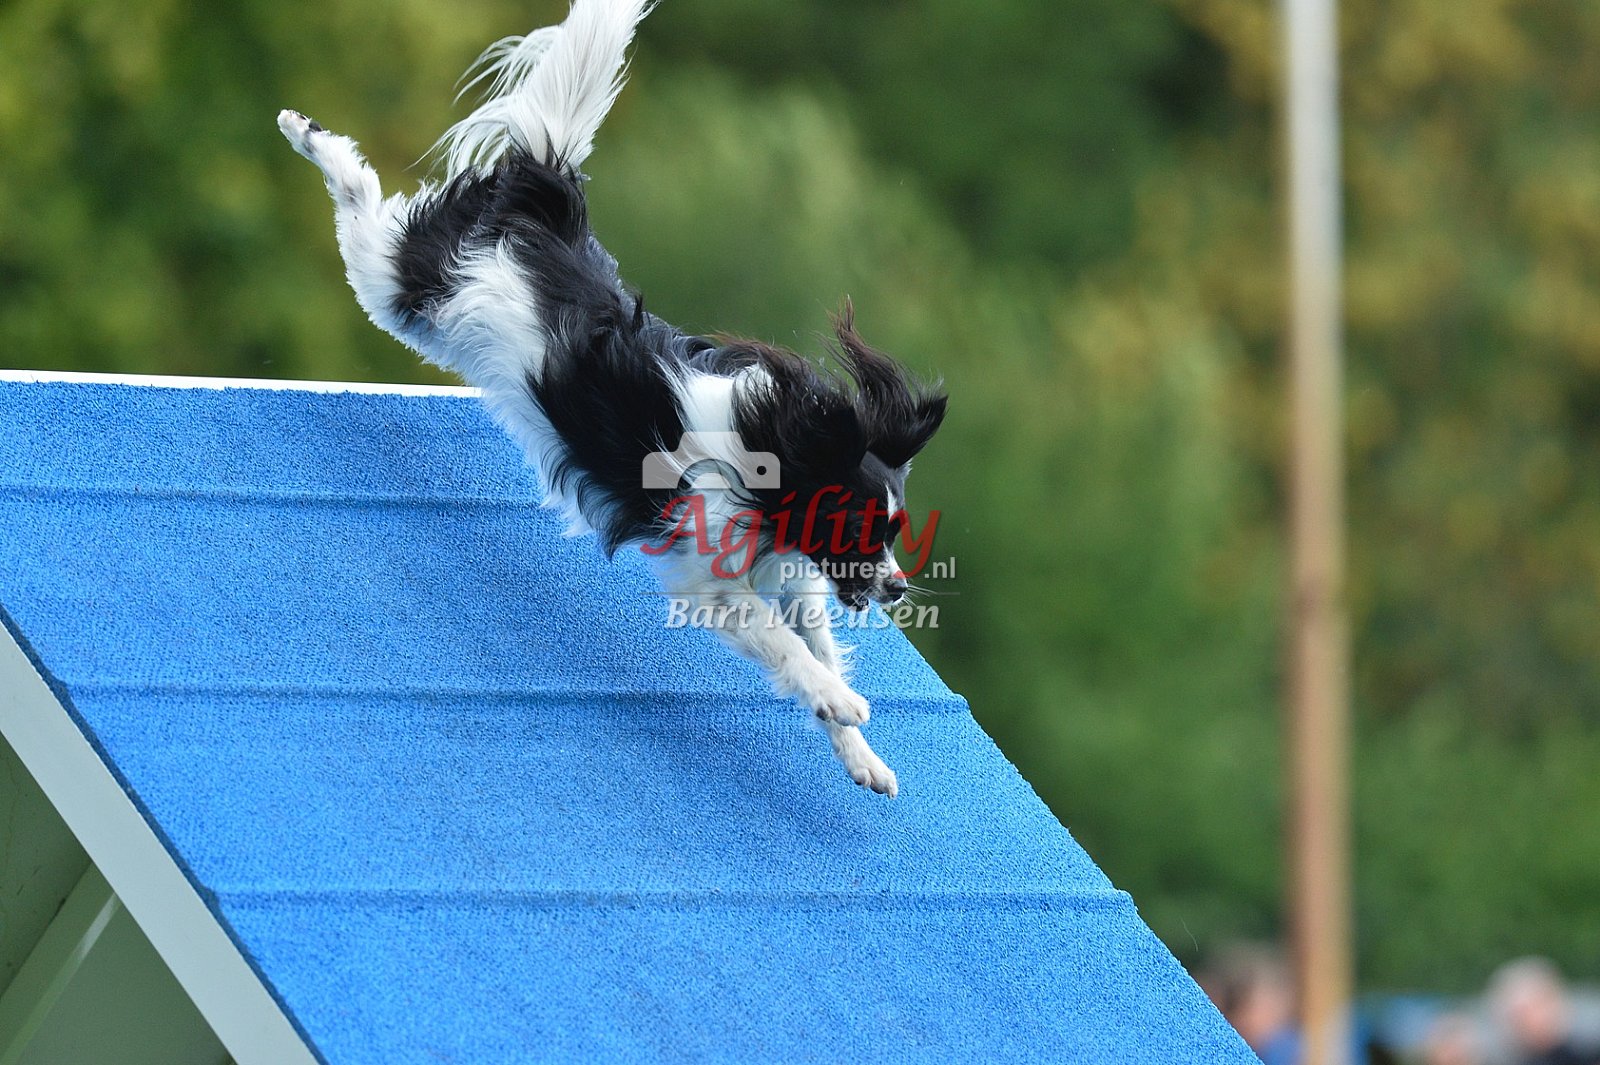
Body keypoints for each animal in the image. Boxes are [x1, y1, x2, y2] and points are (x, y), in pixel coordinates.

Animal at [277, 0, 946, 797]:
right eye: (859, 529)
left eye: (894, 533)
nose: (899, 588)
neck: (772, 451)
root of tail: (543, 207)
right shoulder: (714, 585)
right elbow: (788, 646)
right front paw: (840, 698)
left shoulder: (793, 578)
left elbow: (814, 641)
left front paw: (861, 754)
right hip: (402, 285)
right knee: (361, 199)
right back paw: (303, 130)